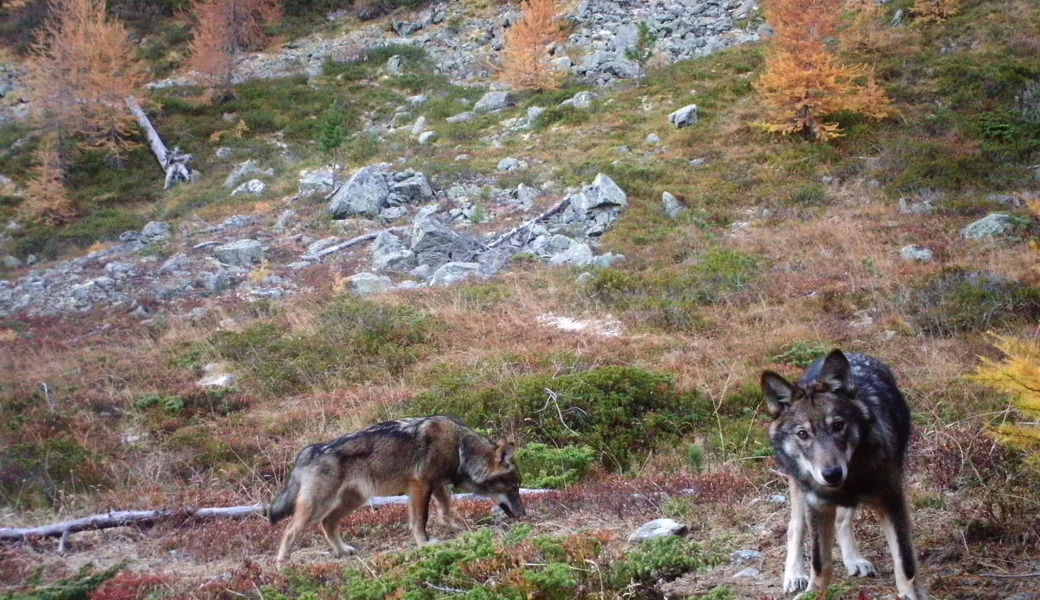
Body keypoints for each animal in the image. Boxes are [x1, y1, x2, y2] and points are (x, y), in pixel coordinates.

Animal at [267, 415, 524, 564]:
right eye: (513, 487)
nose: (524, 515)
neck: (460, 448)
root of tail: (309, 451)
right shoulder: (420, 484)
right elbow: (421, 519)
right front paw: (425, 545)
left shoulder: (436, 484)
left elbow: (445, 509)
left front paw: (455, 527)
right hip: (318, 506)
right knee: (289, 530)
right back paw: (282, 566)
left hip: (353, 501)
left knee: (328, 524)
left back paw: (342, 551)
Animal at [761, 349, 925, 600]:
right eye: (803, 434)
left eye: (838, 425)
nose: (832, 474)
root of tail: (852, 353)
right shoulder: (817, 505)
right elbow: (819, 563)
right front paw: (813, 593)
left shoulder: (892, 501)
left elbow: (905, 561)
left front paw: (910, 594)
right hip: (799, 488)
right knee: (795, 528)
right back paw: (795, 575)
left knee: (841, 520)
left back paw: (854, 560)